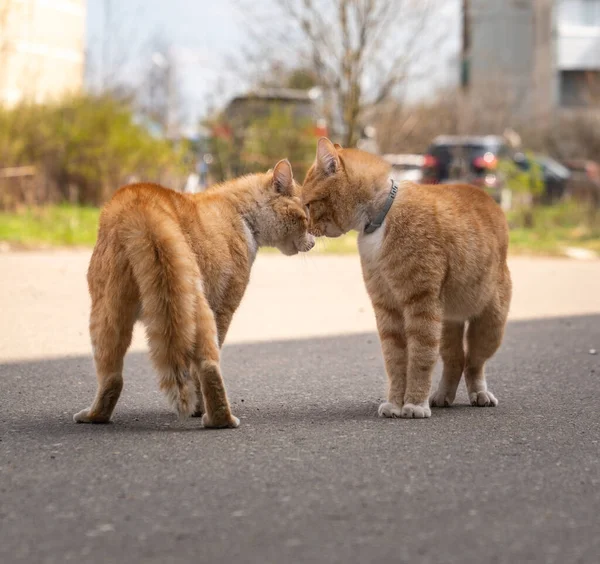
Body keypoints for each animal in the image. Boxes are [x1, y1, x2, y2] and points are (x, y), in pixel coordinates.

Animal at [75, 159, 314, 428]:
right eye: (306, 216)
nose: (314, 241)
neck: (241, 213)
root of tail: (140, 207)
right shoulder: (224, 309)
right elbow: (196, 371)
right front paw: (199, 408)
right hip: (197, 308)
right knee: (208, 366)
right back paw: (218, 420)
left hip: (111, 314)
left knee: (112, 377)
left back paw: (94, 417)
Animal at [302, 138, 512, 416]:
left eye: (308, 204)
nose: (306, 226)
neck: (380, 218)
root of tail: (490, 199)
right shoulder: (387, 308)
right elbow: (395, 361)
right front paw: (395, 403)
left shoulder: (421, 305)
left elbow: (420, 358)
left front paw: (413, 404)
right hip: (447, 323)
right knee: (456, 359)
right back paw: (443, 395)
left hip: (489, 325)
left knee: (474, 362)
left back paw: (480, 394)